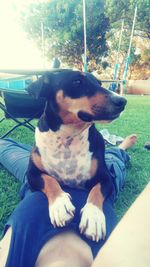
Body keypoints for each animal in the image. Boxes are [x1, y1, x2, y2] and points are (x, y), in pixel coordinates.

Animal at [26, 69, 126, 243]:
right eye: (77, 82)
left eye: (99, 83)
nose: (122, 101)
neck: (68, 137)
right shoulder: (31, 173)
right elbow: (49, 180)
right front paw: (60, 204)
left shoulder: (107, 177)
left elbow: (97, 190)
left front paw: (93, 218)